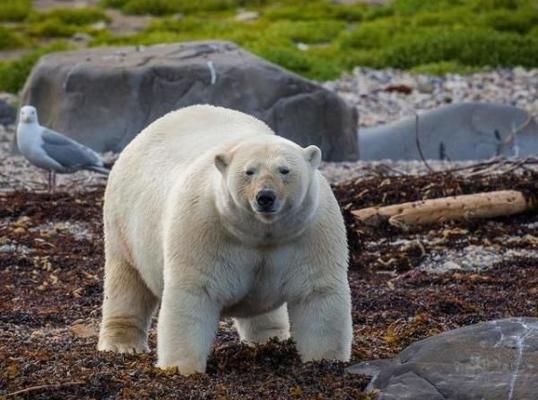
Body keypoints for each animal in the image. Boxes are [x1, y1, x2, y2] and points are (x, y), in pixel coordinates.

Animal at [97, 104, 352, 374]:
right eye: (249, 171)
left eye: (284, 170)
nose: (266, 196)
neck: (260, 233)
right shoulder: (203, 226)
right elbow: (193, 293)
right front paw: (182, 369)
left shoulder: (310, 231)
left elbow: (317, 293)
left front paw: (326, 362)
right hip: (123, 225)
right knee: (127, 283)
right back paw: (121, 344)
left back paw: (269, 338)